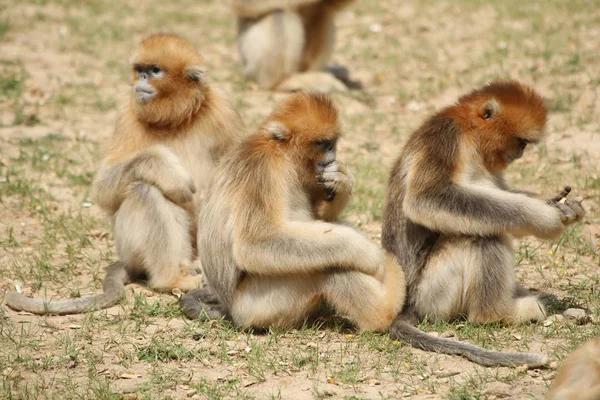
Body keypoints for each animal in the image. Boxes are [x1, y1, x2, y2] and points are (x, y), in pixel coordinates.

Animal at [5, 33, 245, 316]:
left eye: (155, 71)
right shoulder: (129, 113)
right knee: (144, 190)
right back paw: (173, 279)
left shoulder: (223, 109)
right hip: (131, 249)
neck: (175, 120)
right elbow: (104, 189)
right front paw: (167, 170)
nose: (141, 79)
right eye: (140, 69)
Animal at [182, 92, 552, 368]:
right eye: (323, 144)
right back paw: (386, 305)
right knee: (330, 266)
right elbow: (256, 243)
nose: (332, 156)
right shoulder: (261, 169)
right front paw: (369, 253)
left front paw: (342, 180)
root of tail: (231, 310)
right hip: (259, 307)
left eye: (332, 143)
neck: (281, 156)